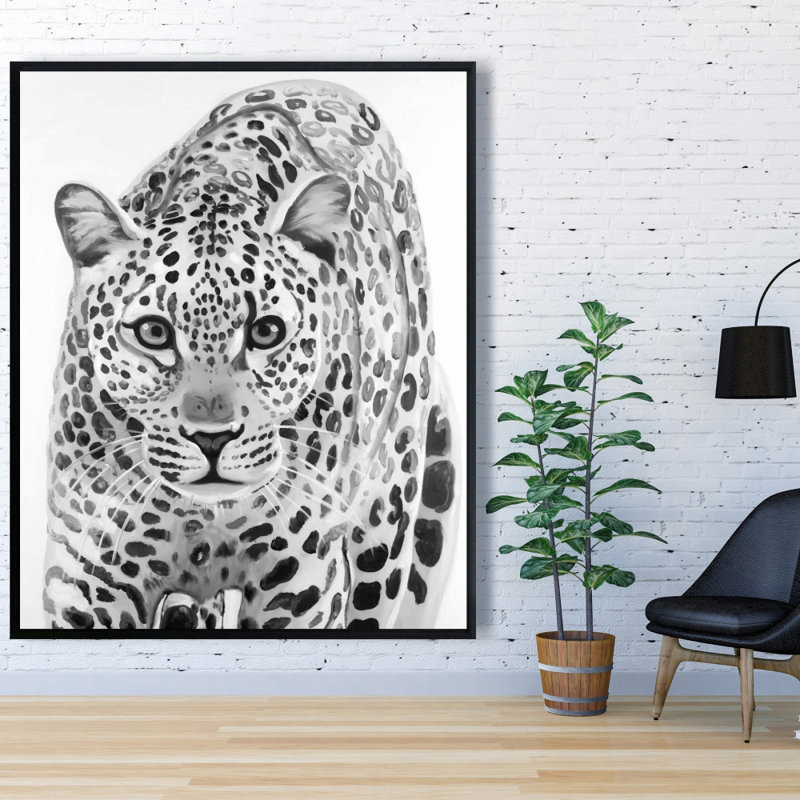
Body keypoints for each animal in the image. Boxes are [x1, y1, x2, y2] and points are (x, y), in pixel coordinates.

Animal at [43, 79, 460, 631]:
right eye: (153, 332)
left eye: (265, 332)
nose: (211, 438)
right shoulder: (85, 573)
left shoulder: (304, 581)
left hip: (387, 525)